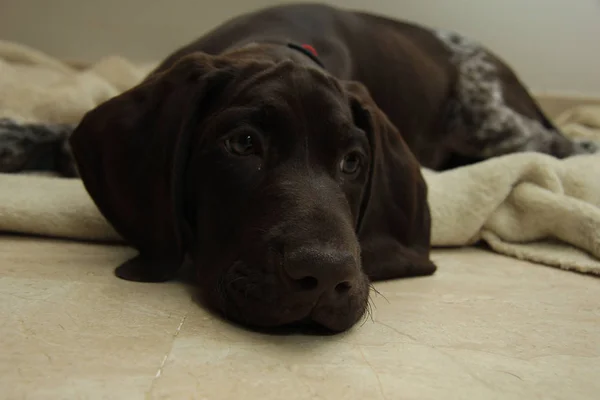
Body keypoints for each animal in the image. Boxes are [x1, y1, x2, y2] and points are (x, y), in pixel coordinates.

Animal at [2, 3, 596, 332]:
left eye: (353, 162)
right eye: (243, 144)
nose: (326, 276)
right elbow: (52, 137)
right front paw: (15, 140)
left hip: (496, 120)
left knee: (560, 143)